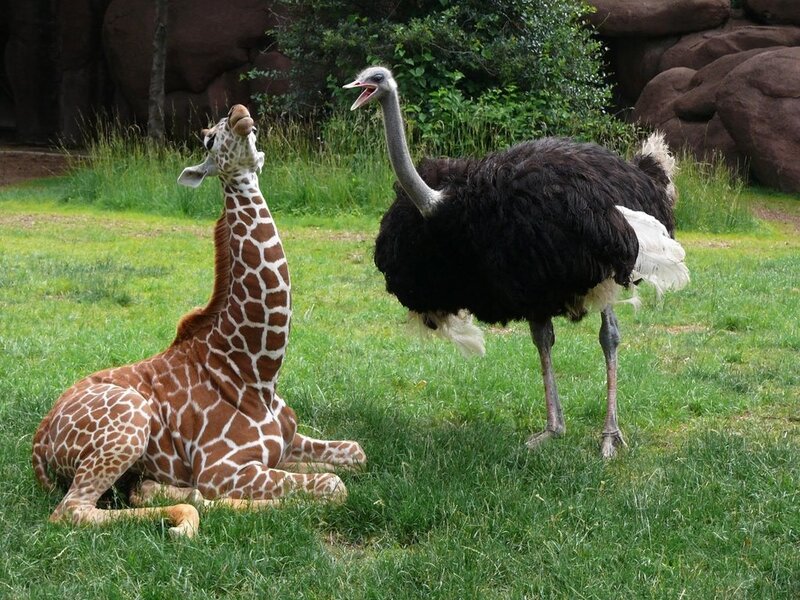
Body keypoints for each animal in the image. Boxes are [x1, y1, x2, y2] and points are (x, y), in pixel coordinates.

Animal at [31, 105, 366, 537]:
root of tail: (40, 441)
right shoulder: (222, 468)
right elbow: (333, 485)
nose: (240, 113)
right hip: (131, 421)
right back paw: (181, 514)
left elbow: (356, 453)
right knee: (73, 510)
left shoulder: (288, 441)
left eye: (252, 131)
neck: (258, 370)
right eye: (208, 140)